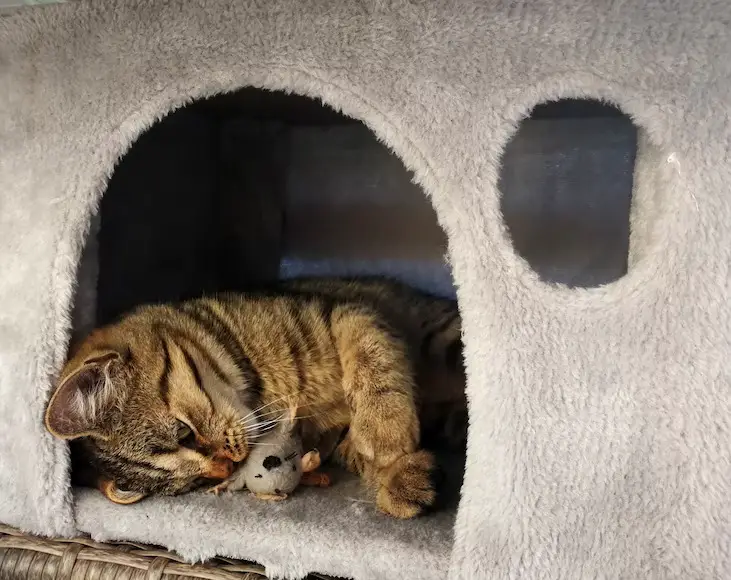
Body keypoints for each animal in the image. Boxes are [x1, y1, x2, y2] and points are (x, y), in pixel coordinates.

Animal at [44, 278, 464, 520]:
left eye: (184, 433)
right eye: (193, 484)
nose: (227, 466)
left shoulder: (344, 310)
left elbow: (371, 354)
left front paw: (385, 433)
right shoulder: (331, 439)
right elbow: (356, 453)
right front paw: (400, 476)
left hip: (445, 335)